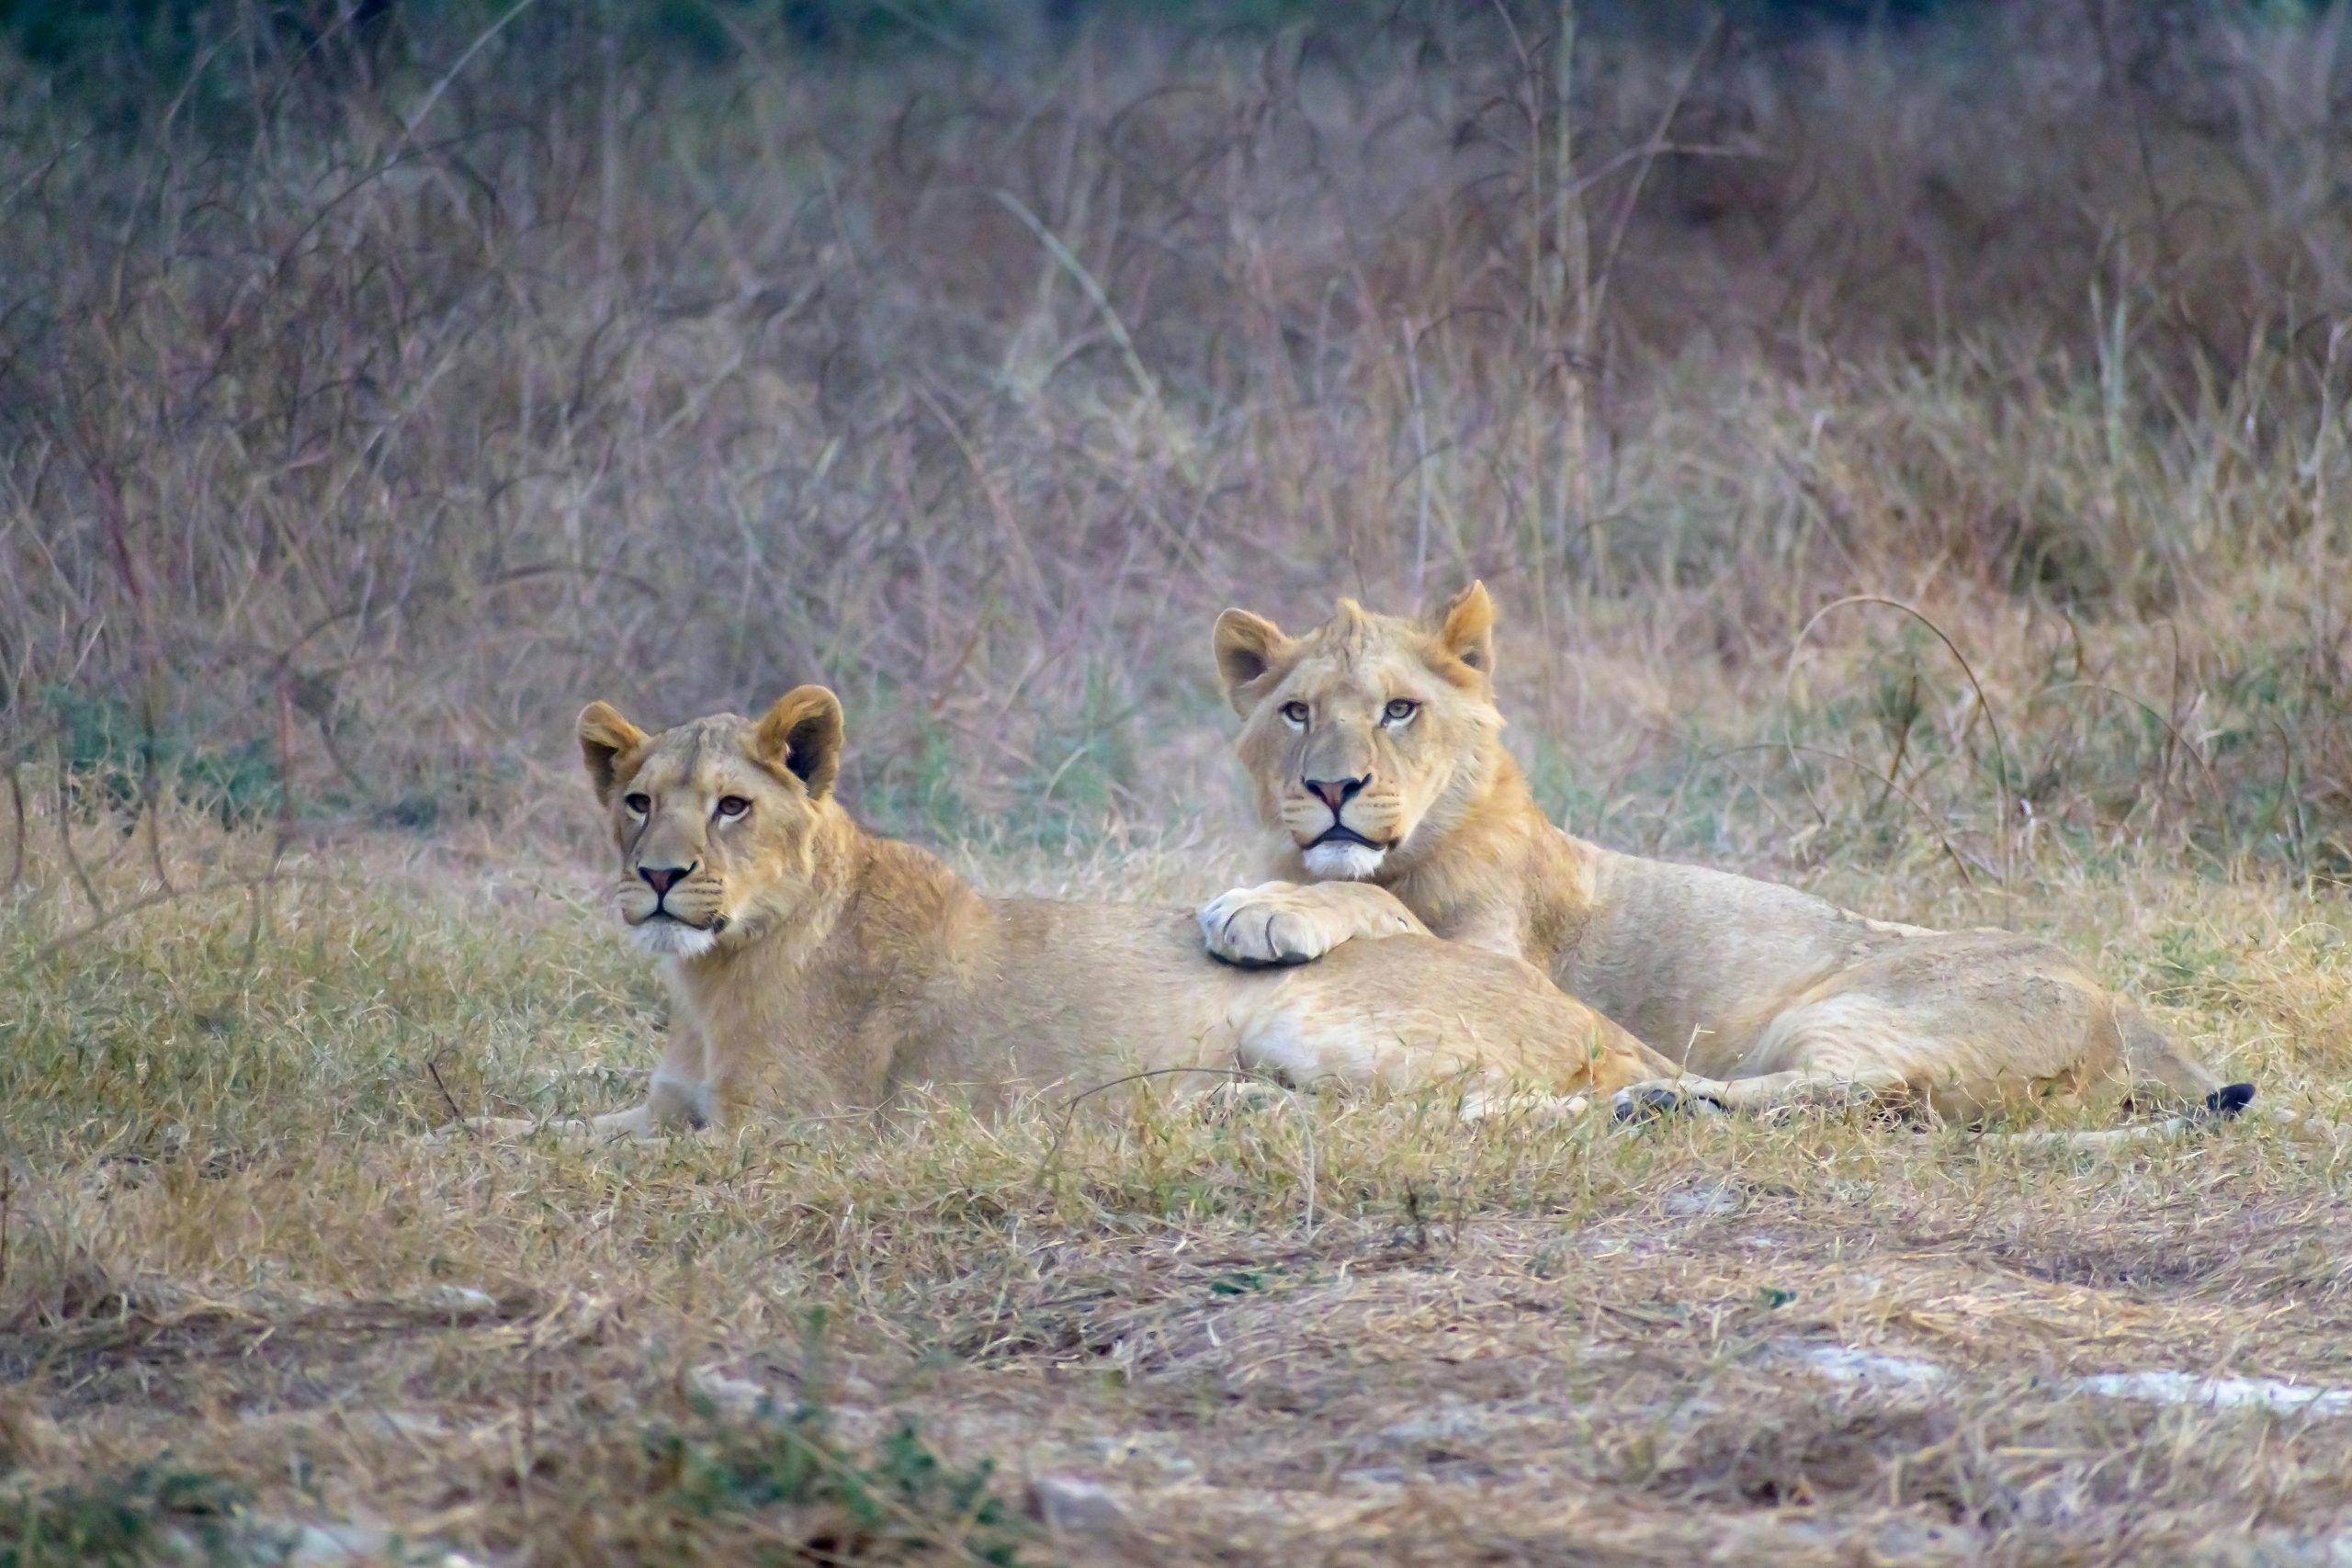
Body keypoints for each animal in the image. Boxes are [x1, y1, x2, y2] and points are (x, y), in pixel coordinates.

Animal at [466, 685, 1673, 1138]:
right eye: (636, 803)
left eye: (730, 807)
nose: (659, 877)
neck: (708, 976)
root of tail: (1585, 1015)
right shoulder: (669, 1106)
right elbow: (536, 1133)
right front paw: (469, 1136)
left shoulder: (792, 1134)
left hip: (1305, 1015)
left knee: (1440, 1116)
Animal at [1197, 585, 2254, 1132]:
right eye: (1296, 711)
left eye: (1399, 709)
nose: (1333, 789)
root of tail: (2126, 1009)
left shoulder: (1505, 967)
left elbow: (1386, 911)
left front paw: (1258, 909)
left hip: (1844, 1005)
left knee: (1864, 1090)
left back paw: (1663, 1096)